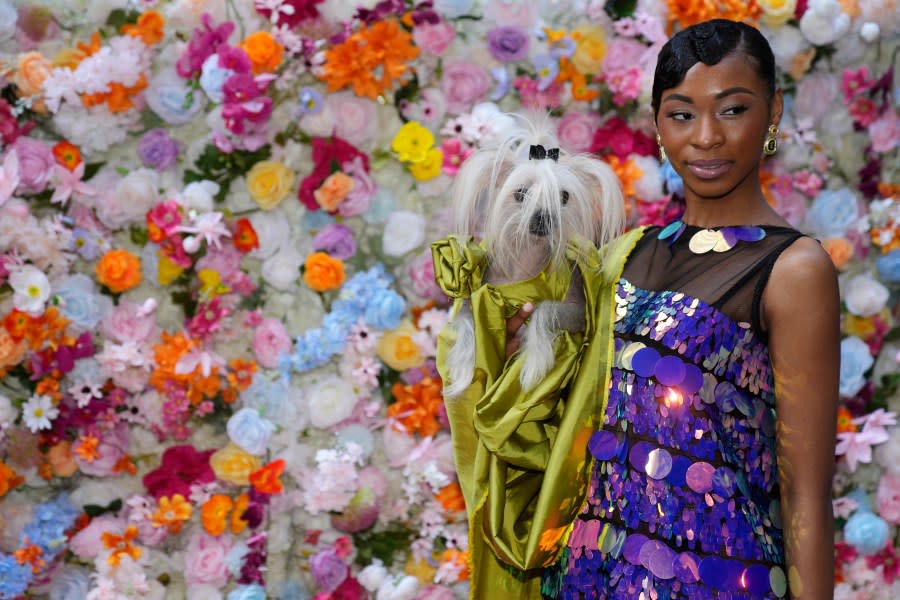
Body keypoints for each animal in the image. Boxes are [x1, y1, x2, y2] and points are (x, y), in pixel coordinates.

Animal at [438, 113, 624, 398]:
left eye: (564, 196)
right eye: (521, 193)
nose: (544, 217)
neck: (525, 263)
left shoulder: (578, 313)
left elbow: (544, 309)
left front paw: (533, 364)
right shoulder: (475, 297)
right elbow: (465, 316)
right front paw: (461, 370)